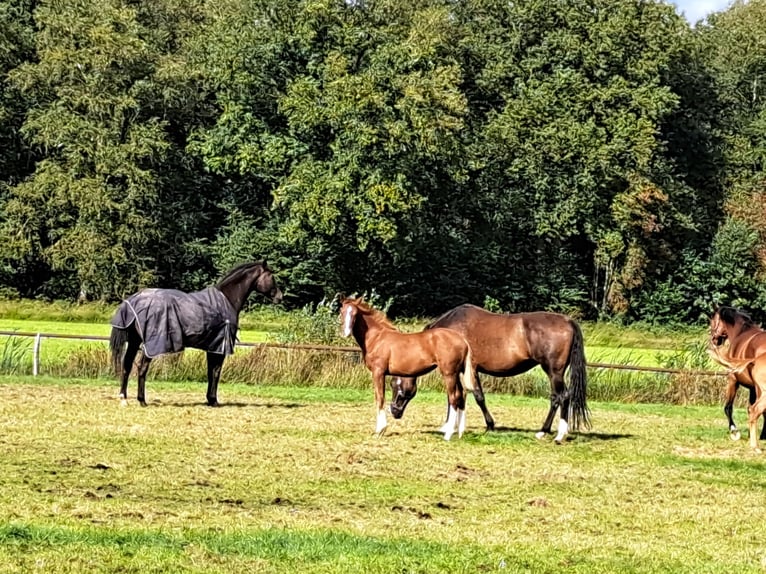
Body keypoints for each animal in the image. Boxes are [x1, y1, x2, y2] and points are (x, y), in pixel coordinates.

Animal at [109, 264, 284, 408]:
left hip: (134, 341)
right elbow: (216, 372)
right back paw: (142, 400)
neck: (227, 299)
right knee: (141, 367)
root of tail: (134, 301)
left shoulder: (213, 346)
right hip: (151, 345)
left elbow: (210, 372)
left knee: (127, 365)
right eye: (271, 276)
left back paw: (123, 398)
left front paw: (210, 399)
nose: (280, 296)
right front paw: (214, 400)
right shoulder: (220, 347)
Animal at [340, 296, 474, 440]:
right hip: (457, 373)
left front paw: (380, 430)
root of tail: (462, 340)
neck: (377, 338)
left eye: (355, 314)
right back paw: (460, 433)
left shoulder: (378, 372)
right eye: (342, 312)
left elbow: (380, 398)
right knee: (461, 395)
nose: (346, 333)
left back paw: (448, 434)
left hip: (449, 374)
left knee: (454, 397)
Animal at [392, 306, 592, 446]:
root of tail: (568, 321)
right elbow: (459, 397)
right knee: (560, 397)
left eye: (395, 383)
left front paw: (489, 425)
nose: (394, 410)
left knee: (561, 396)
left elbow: (473, 397)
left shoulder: (467, 370)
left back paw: (555, 434)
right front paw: (451, 426)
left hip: (553, 371)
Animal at [712, 308, 766, 444]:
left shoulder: (733, 380)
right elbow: (750, 408)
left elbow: (728, 407)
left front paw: (734, 431)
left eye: (713, 320)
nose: (713, 339)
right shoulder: (752, 388)